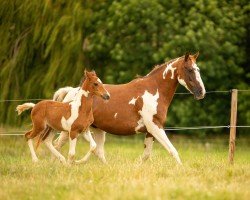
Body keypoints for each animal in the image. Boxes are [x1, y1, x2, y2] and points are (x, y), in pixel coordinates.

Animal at [53, 52, 205, 164]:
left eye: (198, 69)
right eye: (190, 69)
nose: (201, 92)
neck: (154, 90)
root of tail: (72, 91)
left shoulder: (150, 130)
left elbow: (146, 155)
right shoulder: (155, 127)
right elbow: (173, 151)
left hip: (97, 130)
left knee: (98, 151)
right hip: (70, 130)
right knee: (56, 145)